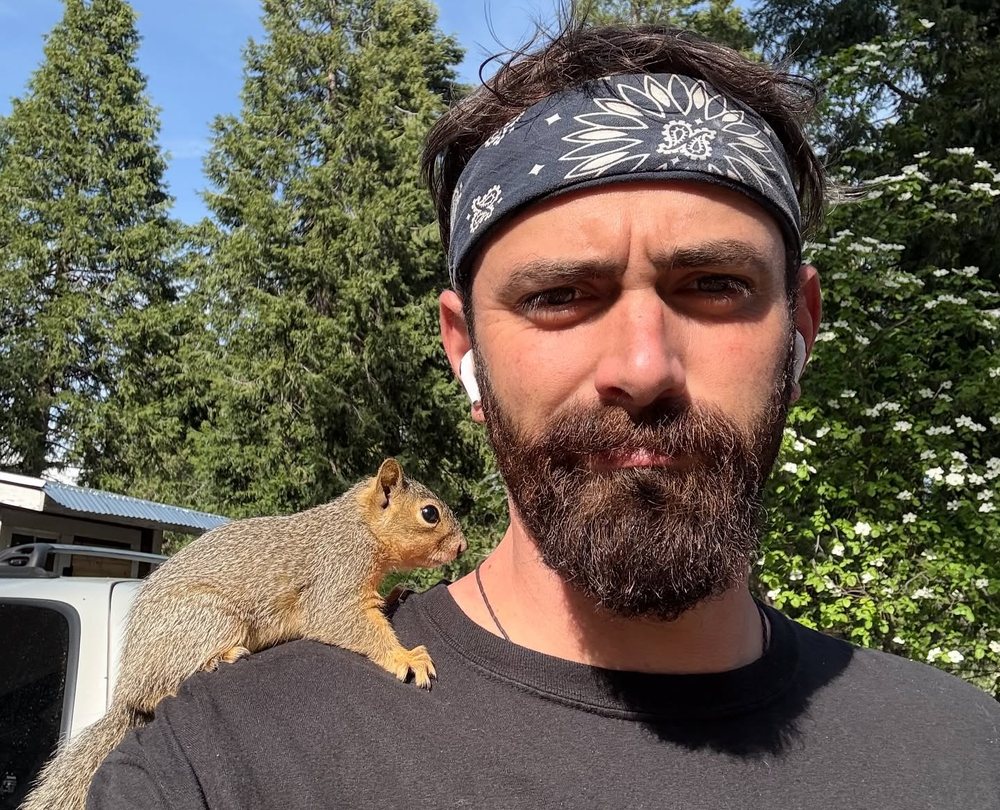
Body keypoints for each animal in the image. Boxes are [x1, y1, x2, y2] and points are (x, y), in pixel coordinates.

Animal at [21, 458, 467, 810]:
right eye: (430, 513)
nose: (463, 547)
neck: (357, 526)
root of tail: (127, 686)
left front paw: (397, 591)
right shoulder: (334, 578)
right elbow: (344, 620)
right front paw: (406, 657)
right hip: (207, 620)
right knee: (159, 688)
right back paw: (219, 658)